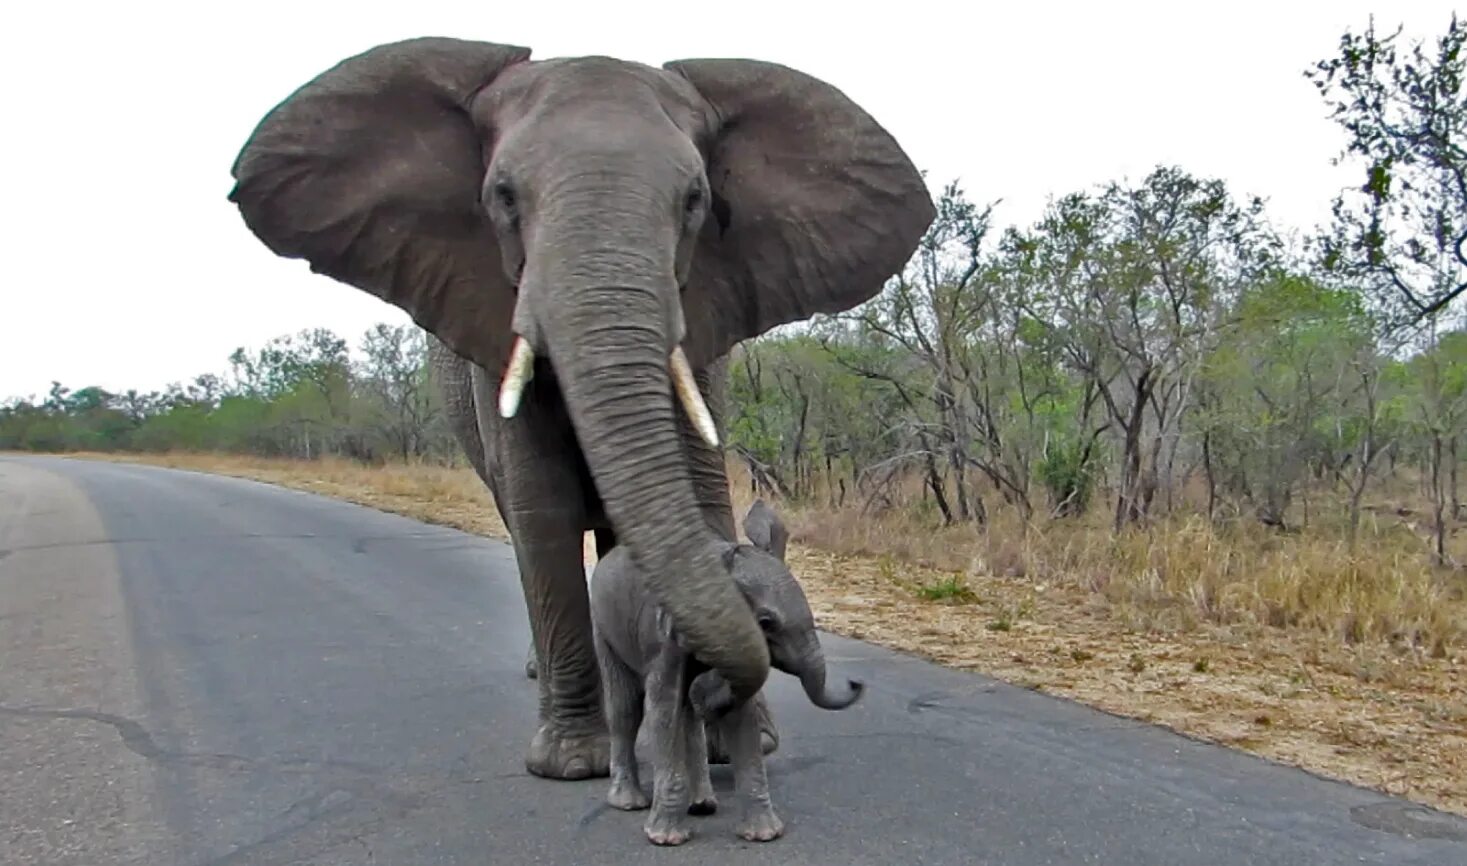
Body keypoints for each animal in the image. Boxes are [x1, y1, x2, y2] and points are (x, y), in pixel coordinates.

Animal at [228, 37, 938, 786]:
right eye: (503, 196)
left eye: (695, 200)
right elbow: (542, 511)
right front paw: (573, 764)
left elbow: (697, 490)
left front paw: (737, 742)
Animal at [583, 501, 856, 851]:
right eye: (766, 623)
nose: (855, 683)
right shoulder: (663, 638)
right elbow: (663, 708)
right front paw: (666, 839)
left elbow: (739, 716)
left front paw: (764, 835)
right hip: (602, 623)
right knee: (626, 707)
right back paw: (629, 802)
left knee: (686, 717)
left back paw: (702, 805)